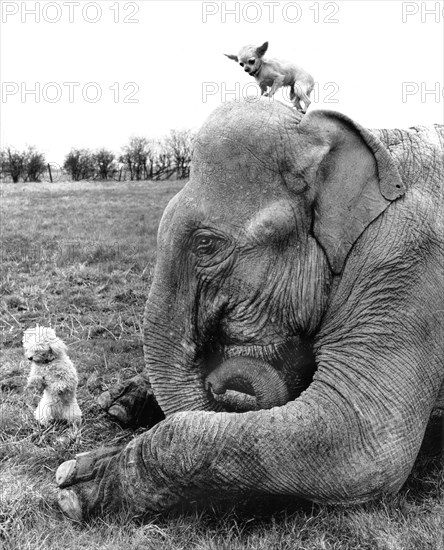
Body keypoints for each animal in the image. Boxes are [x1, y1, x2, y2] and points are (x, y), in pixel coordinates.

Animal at [55, 98, 444, 520]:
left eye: (205, 244)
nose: (219, 384)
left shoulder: (407, 260)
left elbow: (356, 445)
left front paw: (80, 480)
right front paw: (118, 407)